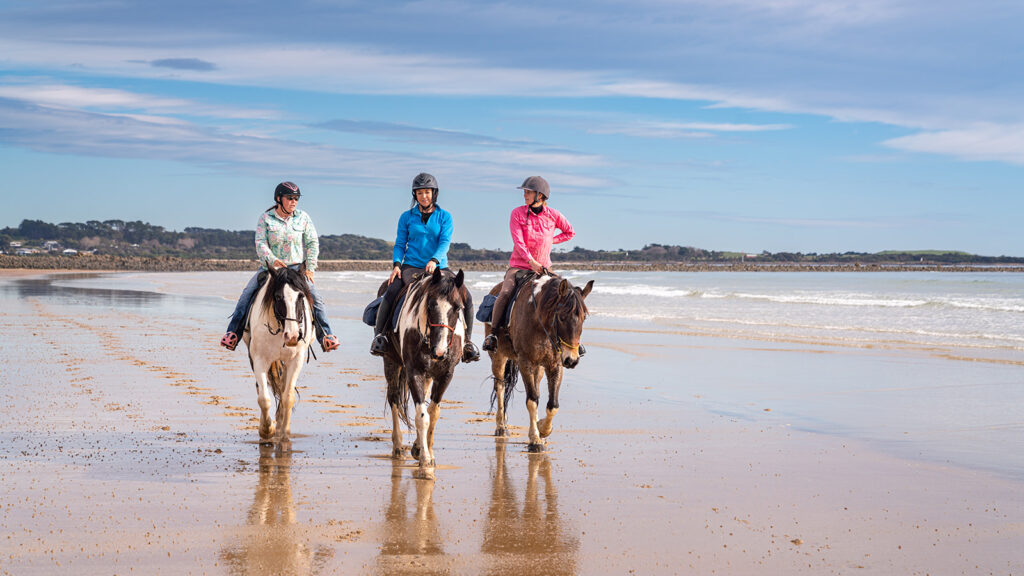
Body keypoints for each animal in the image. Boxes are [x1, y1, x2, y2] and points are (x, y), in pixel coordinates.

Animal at [242, 264, 314, 443]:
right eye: (278, 296)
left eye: (301, 296)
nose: (293, 336)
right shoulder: (259, 360)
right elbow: (264, 398)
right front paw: (267, 430)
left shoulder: (296, 360)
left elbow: (288, 397)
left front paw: (284, 433)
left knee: (282, 387)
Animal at [377, 267, 467, 469]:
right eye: (431, 305)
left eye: (458, 307)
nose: (440, 351)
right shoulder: (414, 371)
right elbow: (422, 416)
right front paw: (425, 461)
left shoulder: (445, 374)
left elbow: (432, 413)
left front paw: (424, 450)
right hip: (391, 362)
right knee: (394, 399)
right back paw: (398, 446)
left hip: (428, 375)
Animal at [484, 272, 594, 451]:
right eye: (561, 317)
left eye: (584, 318)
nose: (571, 360)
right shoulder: (525, 363)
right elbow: (532, 400)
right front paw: (535, 439)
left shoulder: (554, 365)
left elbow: (552, 404)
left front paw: (542, 428)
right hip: (499, 357)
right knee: (500, 386)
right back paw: (501, 426)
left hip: (539, 368)